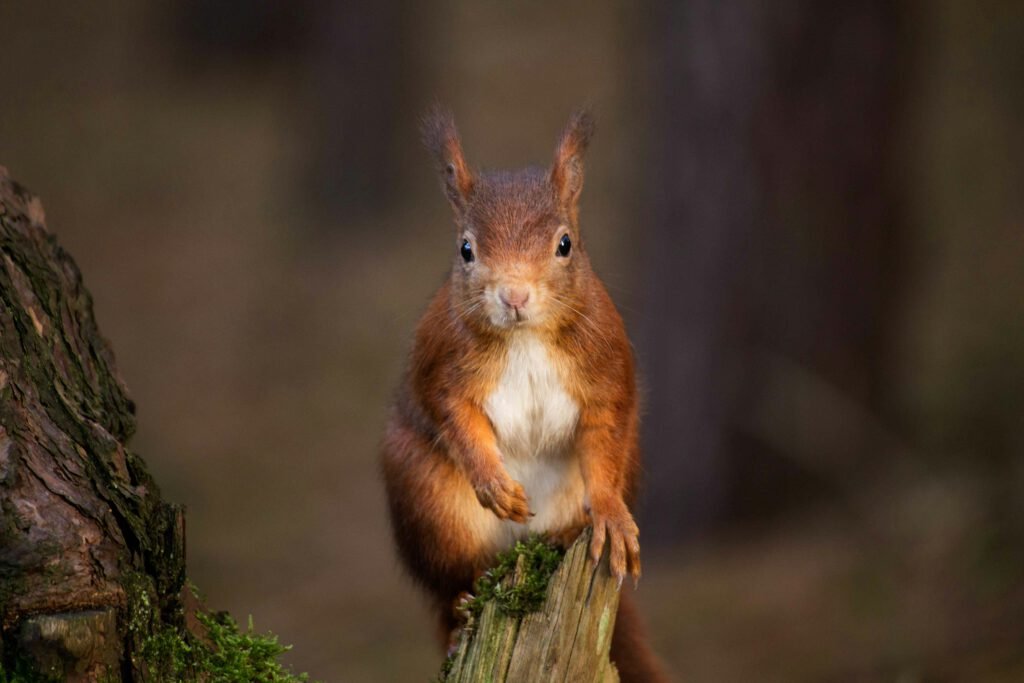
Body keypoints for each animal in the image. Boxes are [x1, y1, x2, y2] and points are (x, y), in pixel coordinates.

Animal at [381, 107, 667, 682]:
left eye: (565, 244)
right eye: (466, 249)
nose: (513, 294)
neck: (526, 338)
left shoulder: (606, 374)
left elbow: (604, 440)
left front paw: (610, 515)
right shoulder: (443, 368)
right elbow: (455, 417)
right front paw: (493, 482)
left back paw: (567, 534)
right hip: (426, 497)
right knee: (453, 585)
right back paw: (460, 616)